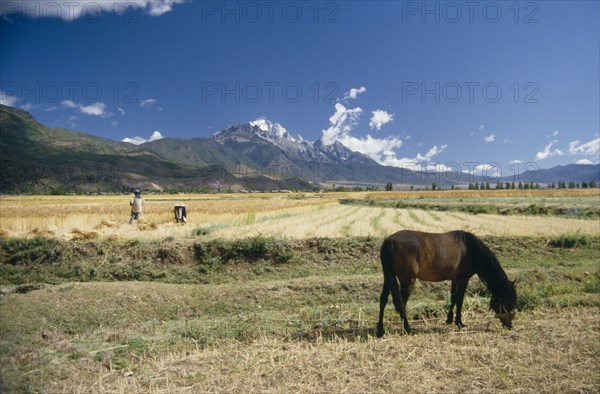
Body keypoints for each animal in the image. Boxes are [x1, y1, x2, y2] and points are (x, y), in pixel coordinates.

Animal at [378, 231, 516, 336]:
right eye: (507, 301)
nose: (510, 325)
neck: (470, 249)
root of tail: (388, 242)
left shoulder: (454, 279)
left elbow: (453, 298)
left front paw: (449, 319)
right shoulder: (463, 279)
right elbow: (459, 300)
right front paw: (459, 323)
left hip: (388, 277)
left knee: (383, 300)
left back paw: (381, 330)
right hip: (407, 280)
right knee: (401, 303)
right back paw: (407, 329)